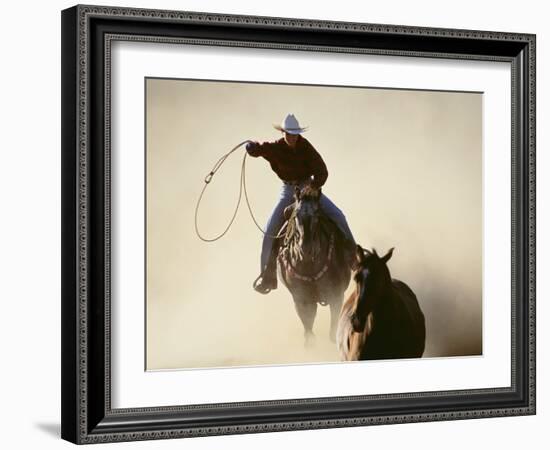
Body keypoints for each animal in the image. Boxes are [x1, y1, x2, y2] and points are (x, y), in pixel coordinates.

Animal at [276, 185, 354, 346]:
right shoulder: (301, 299)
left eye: (317, 214)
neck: (309, 265)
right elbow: (309, 333)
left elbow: (332, 332)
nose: (305, 248)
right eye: (295, 215)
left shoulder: (336, 296)